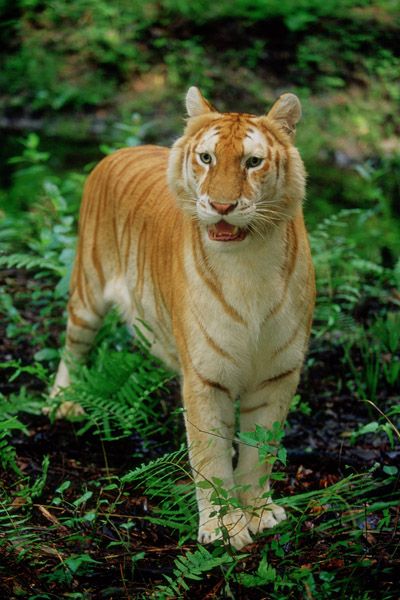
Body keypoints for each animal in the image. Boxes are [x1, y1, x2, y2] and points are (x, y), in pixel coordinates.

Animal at [52, 86, 316, 552]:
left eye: (253, 162)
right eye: (207, 158)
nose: (222, 205)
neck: (249, 262)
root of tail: (121, 149)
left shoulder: (276, 375)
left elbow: (259, 453)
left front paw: (259, 513)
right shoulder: (206, 378)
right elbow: (210, 457)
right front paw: (224, 527)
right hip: (86, 290)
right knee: (71, 348)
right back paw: (62, 401)